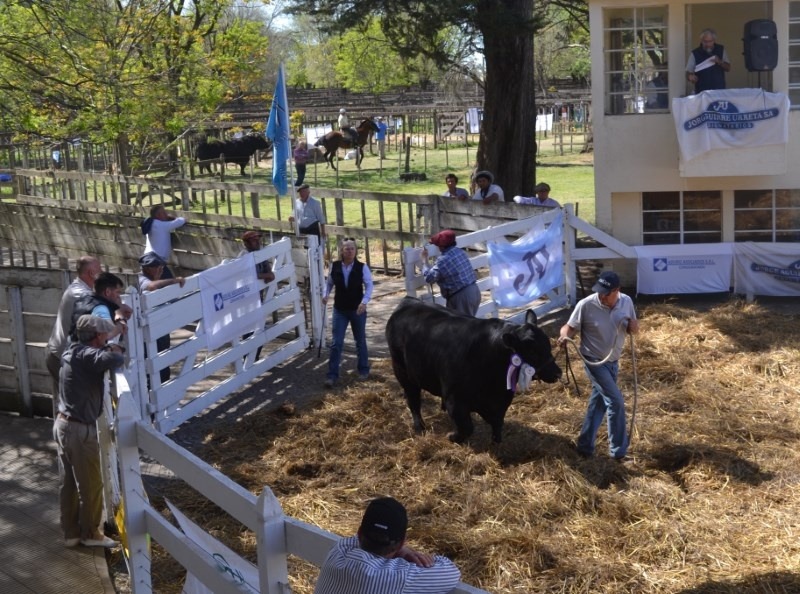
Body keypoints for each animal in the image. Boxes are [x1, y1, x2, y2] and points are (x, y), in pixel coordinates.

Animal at [382, 298, 560, 442]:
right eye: (532, 352)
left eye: (548, 345)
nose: (558, 372)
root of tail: (408, 302)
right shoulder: (455, 400)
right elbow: (466, 428)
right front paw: (452, 437)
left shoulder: (499, 402)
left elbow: (498, 422)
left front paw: (496, 439)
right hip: (403, 373)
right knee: (413, 400)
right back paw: (420, 427)